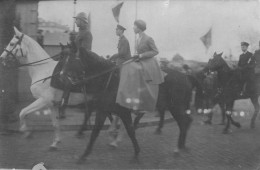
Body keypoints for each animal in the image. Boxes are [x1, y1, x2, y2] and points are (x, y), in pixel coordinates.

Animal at [58, 46, 194, 162]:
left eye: (72, 60)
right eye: (63, 59)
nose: (62, 79)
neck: (110, 80)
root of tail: (185, 76)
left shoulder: (123, 111)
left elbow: (130, 130)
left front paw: (136, 153)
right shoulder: (103, 109)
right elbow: (95, 131)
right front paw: (84, 154)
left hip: (175, 107)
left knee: (183, 122)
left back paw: (177, 148)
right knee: (186, 120)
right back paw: (181, 145)